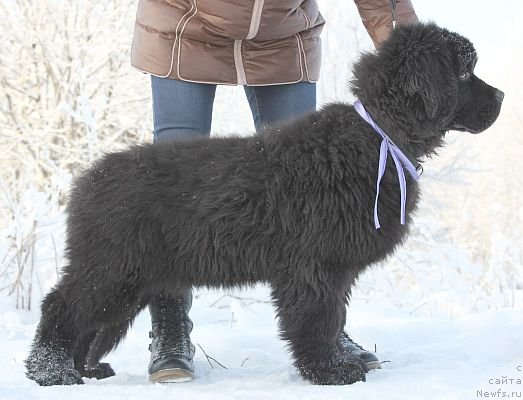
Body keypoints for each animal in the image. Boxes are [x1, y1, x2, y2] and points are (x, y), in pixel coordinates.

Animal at [25, 22, 504, 388]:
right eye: (465, 73)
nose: (501, 97)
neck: (377, 134)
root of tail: (86, 180)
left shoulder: (331, 268)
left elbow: (334, 318)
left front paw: (340, 360)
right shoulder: (314, 267)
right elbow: (318, 319)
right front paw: (331, 372)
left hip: (130, 278)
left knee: (90, 323)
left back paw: (85, 369)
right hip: (111, 267)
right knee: (61, 308)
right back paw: (50, 372)